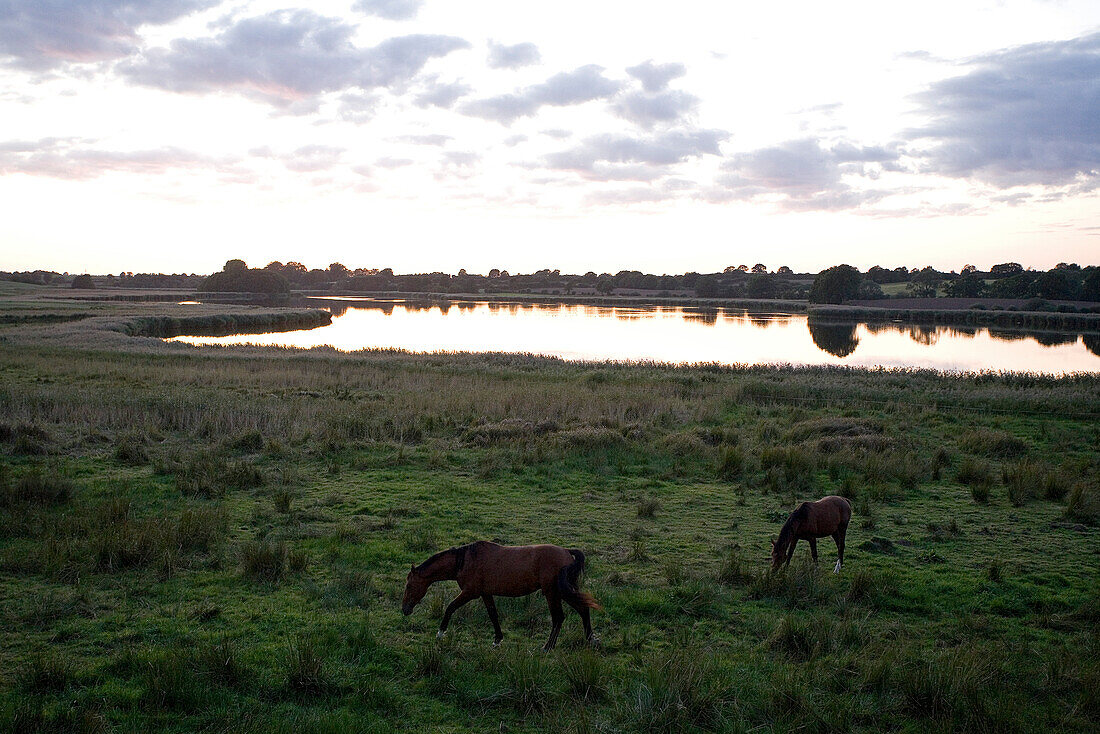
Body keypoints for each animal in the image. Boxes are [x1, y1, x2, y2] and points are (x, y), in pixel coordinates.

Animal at [402, 539, 598, 655]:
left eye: (409, 585)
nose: (405, 609)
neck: (464, 560)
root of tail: (566, 551)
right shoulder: (485, 593)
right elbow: (493, 615)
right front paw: (497, 640)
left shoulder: (470, 593)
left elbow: (450, 607)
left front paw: (440, 633)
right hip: (565, 591)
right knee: (583, 609)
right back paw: (590, 639)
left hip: (553, 593)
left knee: (558, 617)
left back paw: (548, 647)